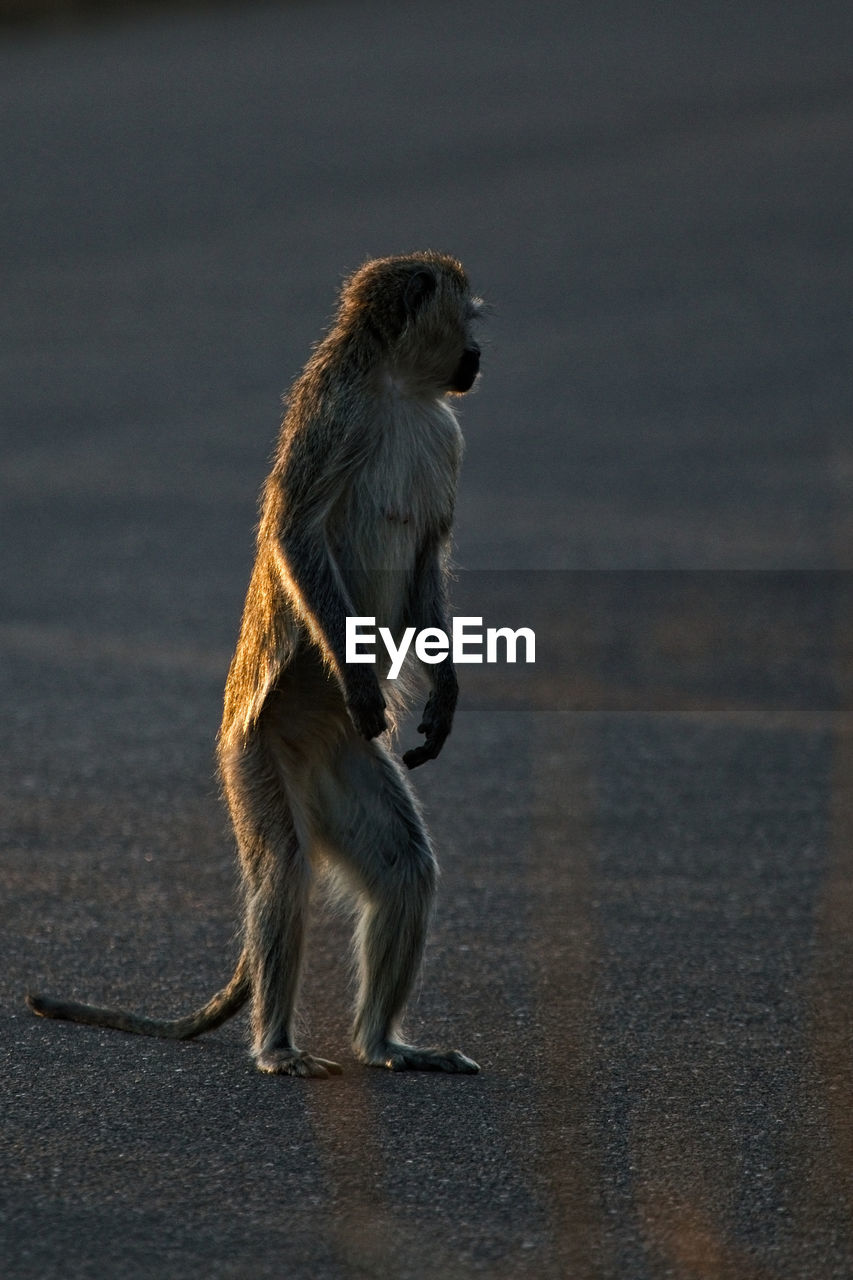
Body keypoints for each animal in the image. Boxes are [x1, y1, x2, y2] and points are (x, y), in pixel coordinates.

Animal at [28, 249, 479, 1080]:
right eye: (467, 318)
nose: (476, 357)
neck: (395, 390)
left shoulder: (444, 434)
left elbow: (427, 554)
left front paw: (444, 697)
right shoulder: (332, 417)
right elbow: (296, 531)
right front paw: (362, 679)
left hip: (340, 762)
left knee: (403, 867)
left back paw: (384, 1044)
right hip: (253, 755)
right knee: (283, 870)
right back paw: (277, 1046)